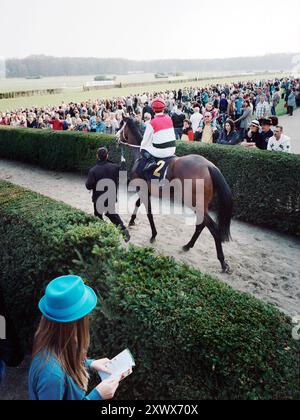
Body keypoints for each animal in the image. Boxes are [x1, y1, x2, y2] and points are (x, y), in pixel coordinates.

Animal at [118, 117, 233, 272]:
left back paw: (222, 262)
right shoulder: (146, 189)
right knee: (201, 224)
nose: (117, 138)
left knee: (213, 228)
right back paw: (187, 246)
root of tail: (209, 166)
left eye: (120, 126)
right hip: (200, 204)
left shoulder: (142, 188)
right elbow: (138, 203)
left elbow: (149, 212)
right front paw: (132, 221)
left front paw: (153, 235)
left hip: (193, 202)